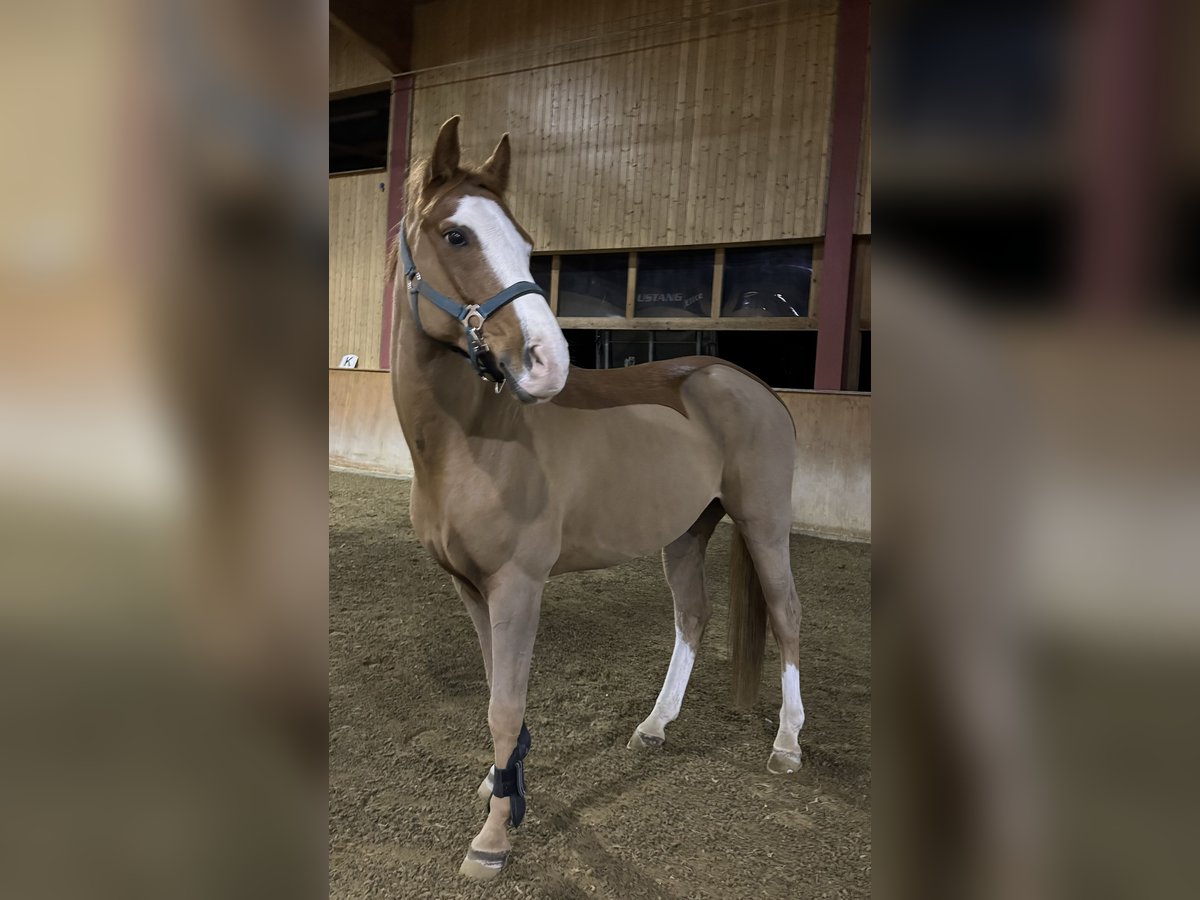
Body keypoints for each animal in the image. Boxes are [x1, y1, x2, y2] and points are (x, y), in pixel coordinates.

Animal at [391, 114, 806, 883]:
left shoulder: (518, 585)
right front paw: (502, 784)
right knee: (692, 617)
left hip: (764, 523)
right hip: (687, 532)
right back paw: (655, 726)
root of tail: (751, 383)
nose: (547, 362)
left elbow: (504, 704)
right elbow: (497, 687)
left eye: (527, 242)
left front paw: (493, 838)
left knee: (788, 615)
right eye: (456, 235)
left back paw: (788, 745)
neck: (472, 438)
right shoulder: (471, 586)